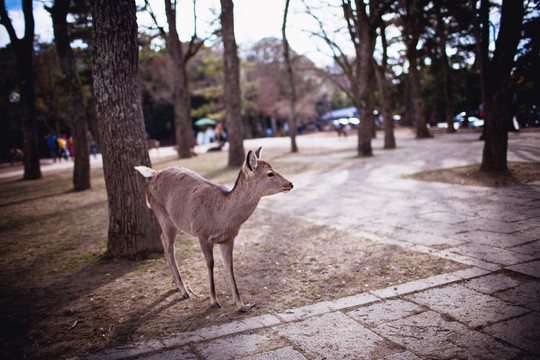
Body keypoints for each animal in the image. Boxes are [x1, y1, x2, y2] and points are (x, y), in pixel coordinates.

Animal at [137, 148, 294, 310]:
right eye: (270, 173)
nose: (290, 184)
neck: (221, 219)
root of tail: (152, 174)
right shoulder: (202, 235)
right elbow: (210, 264)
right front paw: (214, 301)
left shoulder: (228, 239)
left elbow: (229, 266)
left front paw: (241, 305)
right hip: (162, 213)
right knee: (168, 245)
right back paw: (184, 290)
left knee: (164, 240)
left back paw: (176, 285)